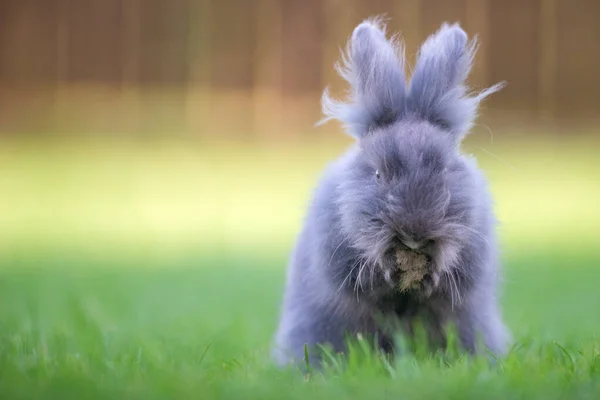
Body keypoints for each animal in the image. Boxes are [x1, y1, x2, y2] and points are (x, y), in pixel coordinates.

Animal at [272, 18, 510, 368]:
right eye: (377, 174)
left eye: (444, 169)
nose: (414, 234)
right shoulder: (338, 259)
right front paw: (392, 270)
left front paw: (427, 276)